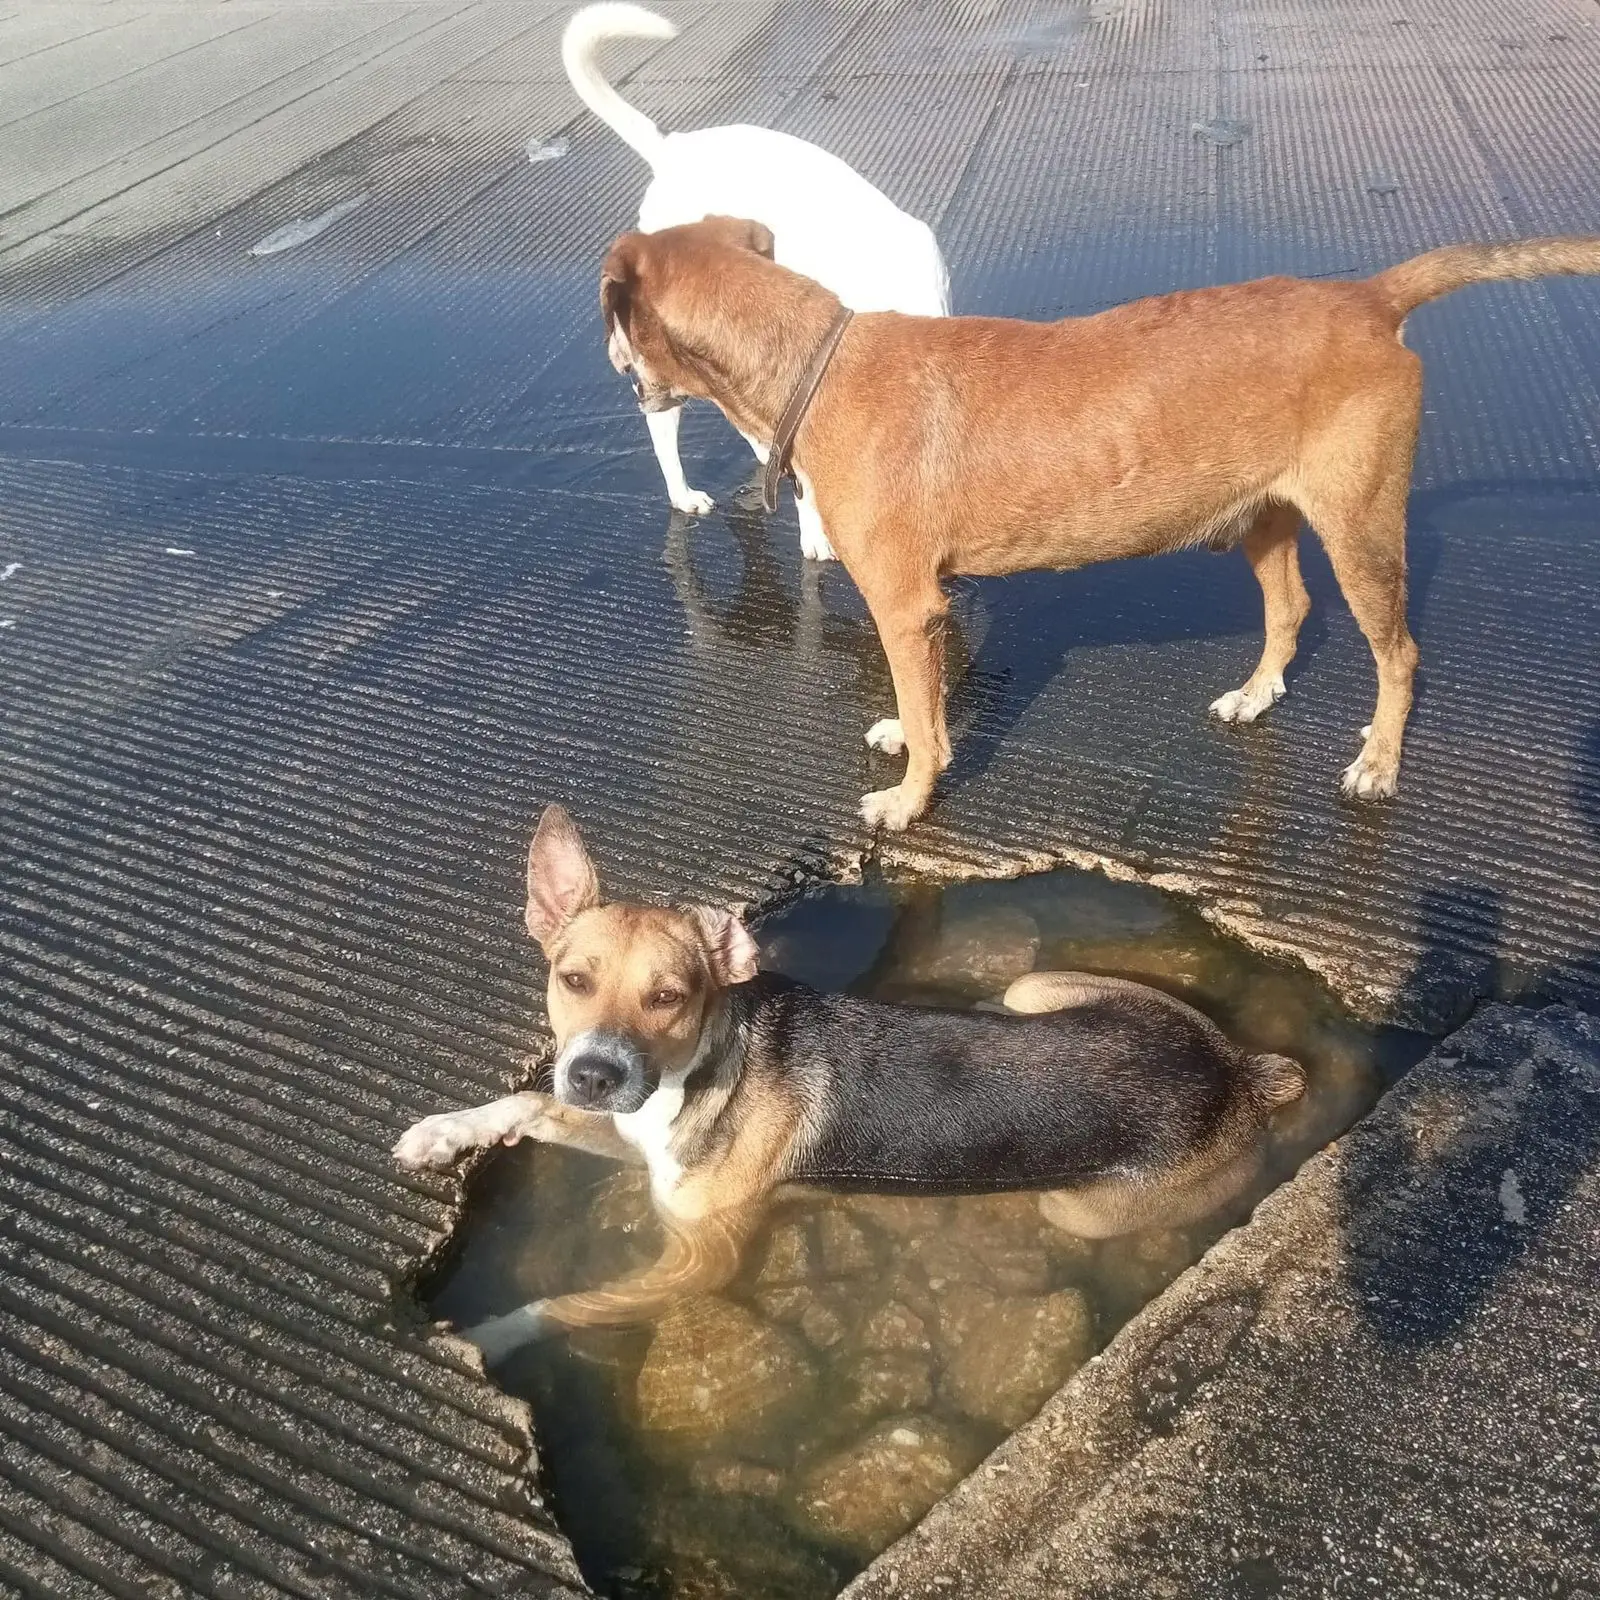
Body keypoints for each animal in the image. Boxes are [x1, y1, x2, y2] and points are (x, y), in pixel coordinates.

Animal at [393, 806, 1305, 1356]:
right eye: (572, 979)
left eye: (669, 997)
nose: (592, 1073)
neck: (700, 1072)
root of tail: (1240, 1071)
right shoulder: (639, 1139)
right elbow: (528, 1103)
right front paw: (444, 1132)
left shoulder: (703, 1260)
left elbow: (570, 1304)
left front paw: (480, 1338)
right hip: (1040, 990)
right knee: (1012, 994)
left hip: (1079, 1205)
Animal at [598, 219, 1600, 832]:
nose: (612, 371)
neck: (813, 360)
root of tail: (1366, 298)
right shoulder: (931, 603)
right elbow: (931, 702)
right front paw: (908, 734)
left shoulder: (903, 601)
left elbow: (927, 720)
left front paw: (911, 798)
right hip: (1263, 517)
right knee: (1290, 610)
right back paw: (1257, 694)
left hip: (1360, 526)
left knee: (1399, 654)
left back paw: (1380, 763)